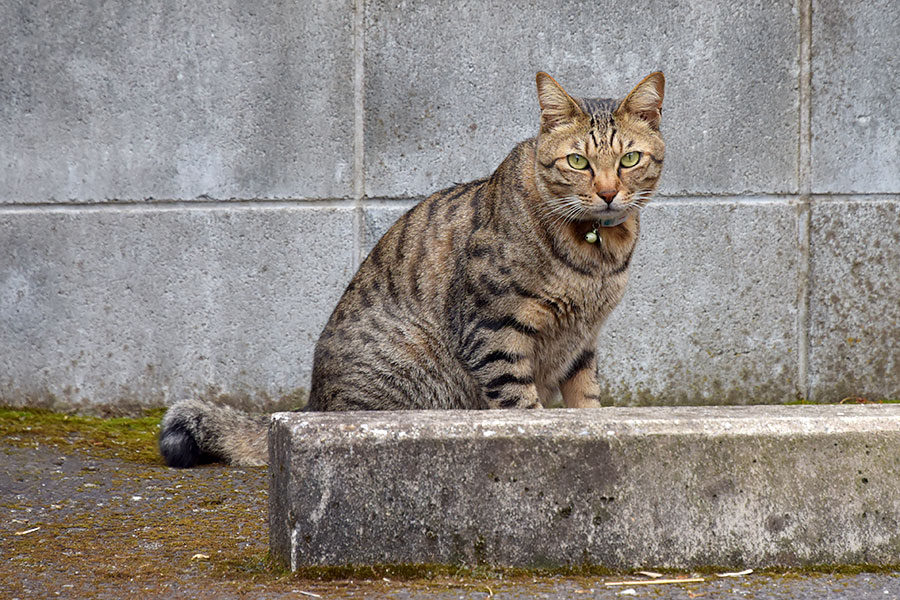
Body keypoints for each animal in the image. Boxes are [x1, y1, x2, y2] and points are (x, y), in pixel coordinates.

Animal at [156, 71, 660, 468]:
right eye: (578, 161)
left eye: (629, 159)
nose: (608, 193)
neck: (597, 254)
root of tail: (311, 403)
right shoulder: (492, 332)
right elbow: (524, 408)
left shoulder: (582, 343)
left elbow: (587, 404)